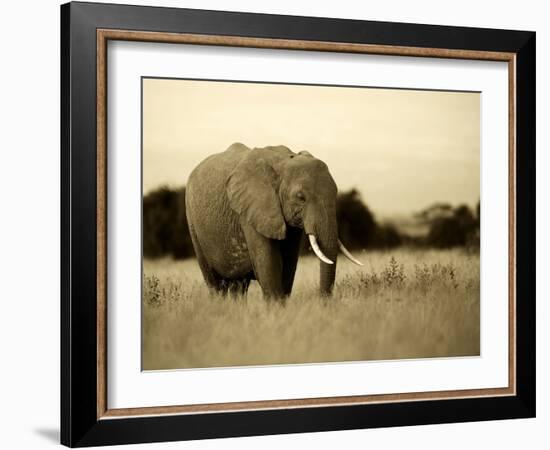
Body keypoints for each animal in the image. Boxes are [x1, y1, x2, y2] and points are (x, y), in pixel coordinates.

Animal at [188, 143, 364, 298]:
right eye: (301, 198)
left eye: (336, 193)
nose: (323, 303)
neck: (284, 161)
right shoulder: (252, 209)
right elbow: (269, 264)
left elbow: (288, 264)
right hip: (193, 223)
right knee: (214, 283)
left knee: (239, 285)